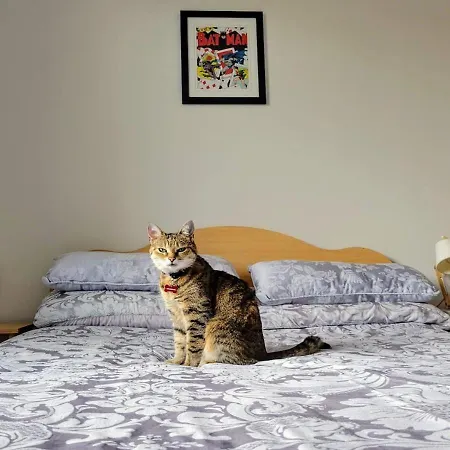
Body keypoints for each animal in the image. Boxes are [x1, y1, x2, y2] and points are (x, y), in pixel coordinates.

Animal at [147, 220, 331, 366]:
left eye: (181, 249)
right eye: (162, 250)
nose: (171, 259)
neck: (174, 281)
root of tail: (262, 354)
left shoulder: (197, 314)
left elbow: (192, 344)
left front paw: (188, 365)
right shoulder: (176, 315)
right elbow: (180, 342)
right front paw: (176, 361)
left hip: (215, 326)